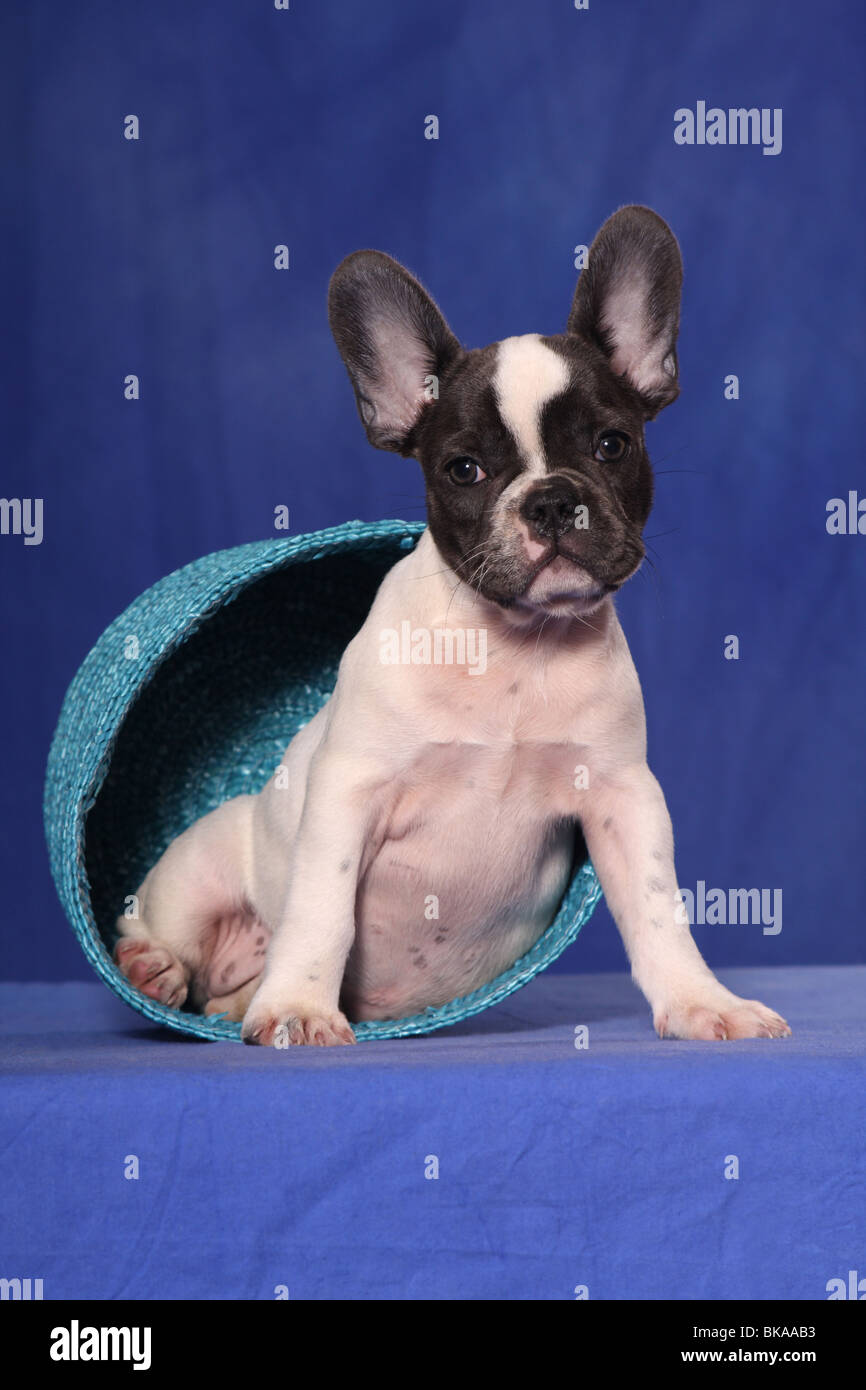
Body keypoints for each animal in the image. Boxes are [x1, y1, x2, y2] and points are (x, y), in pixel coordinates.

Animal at [113, 208, 795, 1045]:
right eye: (463, 469)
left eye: (612, 445)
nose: (552, 500)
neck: (513, 647)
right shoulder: (348, 793)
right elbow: (322, 911)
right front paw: (301, 1007)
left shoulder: (622, 796)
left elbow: (659, 910)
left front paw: (702, 1001)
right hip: (200, 861)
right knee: (166, 929)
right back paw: (156, 969)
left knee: (221, 995)